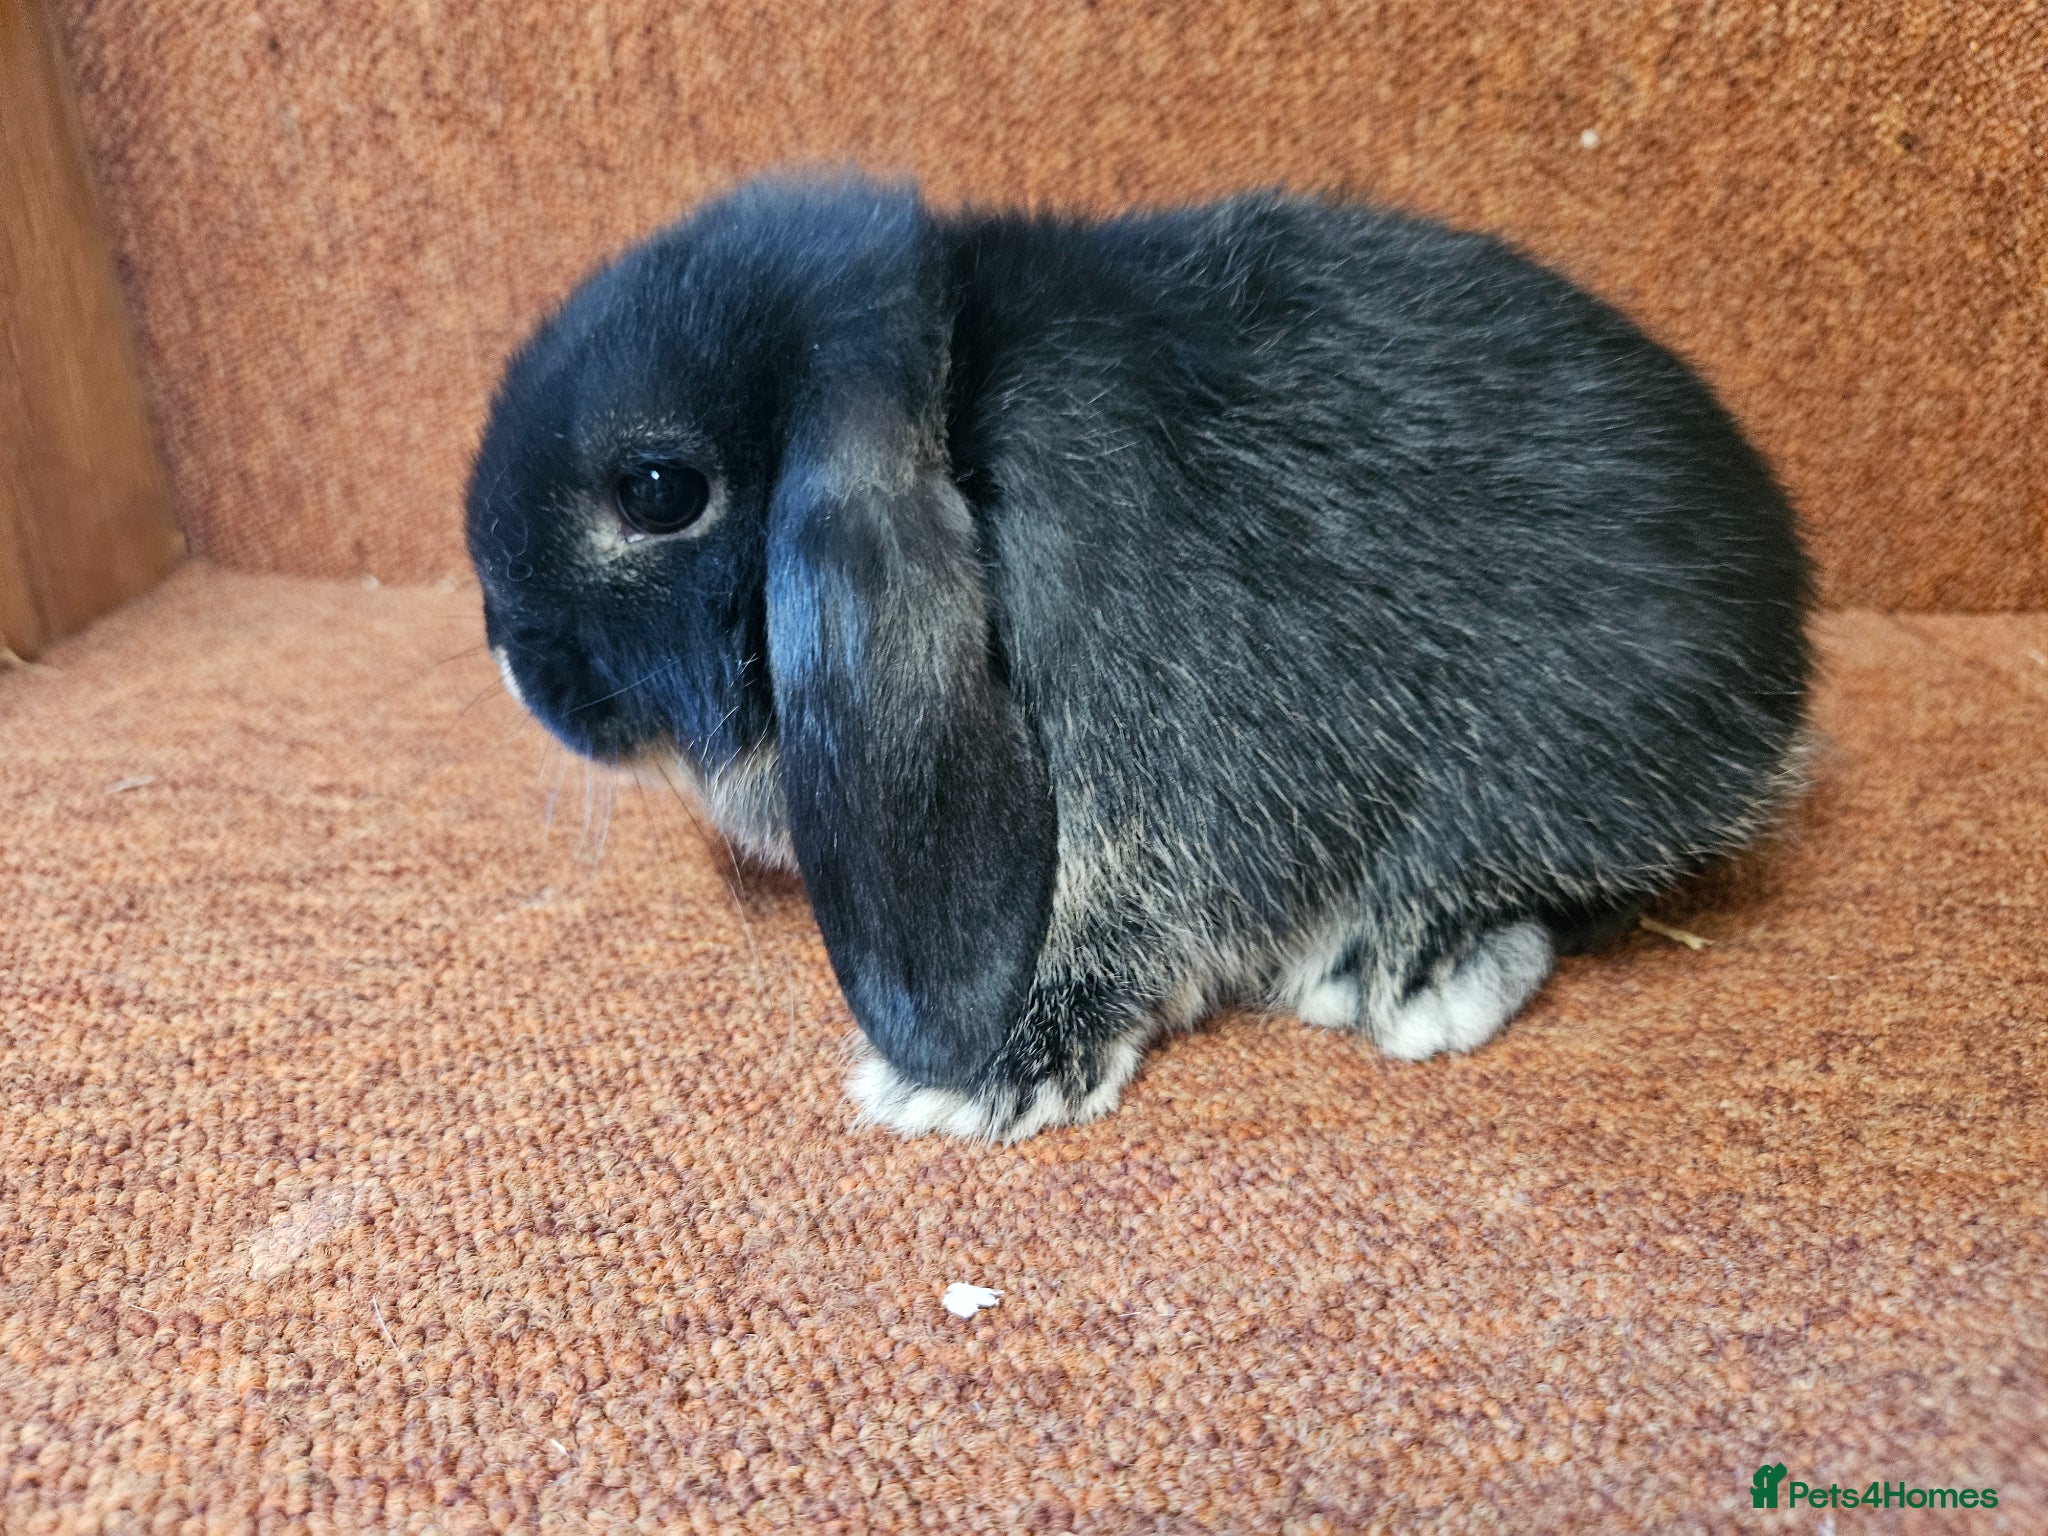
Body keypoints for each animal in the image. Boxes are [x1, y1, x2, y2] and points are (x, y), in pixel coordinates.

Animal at [466, 172, 1813, 1141]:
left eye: (657, 491)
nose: (511, 665)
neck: (955, 417)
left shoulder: (1169, 773)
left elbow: (1128, 900)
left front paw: (979, 1078)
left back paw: (1407, 964)